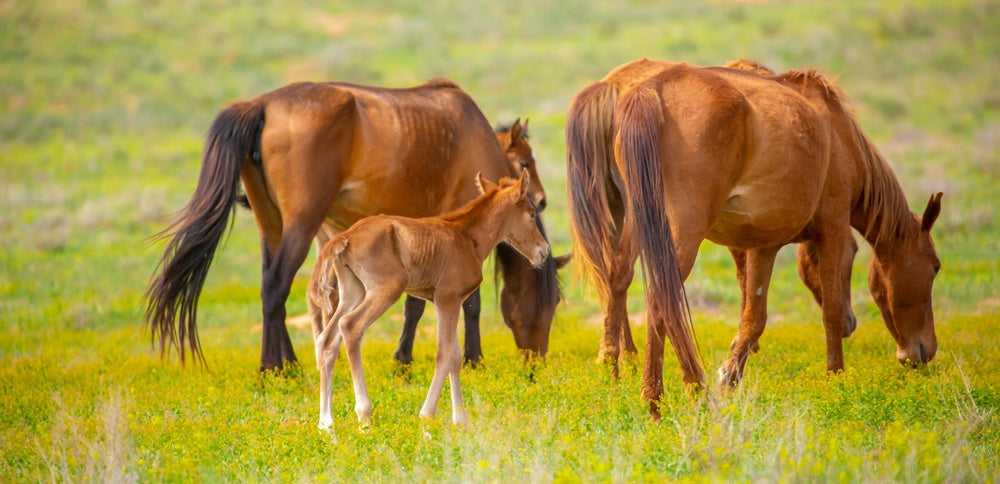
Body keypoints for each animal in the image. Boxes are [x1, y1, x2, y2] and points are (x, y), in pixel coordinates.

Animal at [145, 79, 558, 371]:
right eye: (551, 302)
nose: (537, 360)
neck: (476, 136)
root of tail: (261, 105)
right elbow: (467, 302)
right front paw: (473, 360)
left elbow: (414, 304)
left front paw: (403, 360)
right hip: (302, 224)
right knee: (277, 286)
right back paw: (274, 368)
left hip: (272, 224)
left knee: (274, 290)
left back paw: (287, 365)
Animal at [310, 172, 548, 438]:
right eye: (531, 213)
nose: (544, 251)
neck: (467, 237)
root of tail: (346, 237)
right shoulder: (447, 298)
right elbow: (444, 354)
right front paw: (427, 419)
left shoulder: (450, 301)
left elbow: (455, 355)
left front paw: (461, 421)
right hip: (386, 289)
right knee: (350, 326)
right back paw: (364, 418)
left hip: (353, 292)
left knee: (327, 339)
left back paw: (326, 425)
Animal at [566, 58, 942, 419]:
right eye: (936, 267)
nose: (923, 351)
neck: (840, 137)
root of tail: (650, 91)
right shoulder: (833, 229)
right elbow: (830, 310)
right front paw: (836, 378)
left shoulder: (764, 245)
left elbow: (754, 316)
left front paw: (731, 376)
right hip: (680, 230)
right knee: (663, 299)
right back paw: (667, 397)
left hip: (640, 221)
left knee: (620, 278)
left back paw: (622, 372)